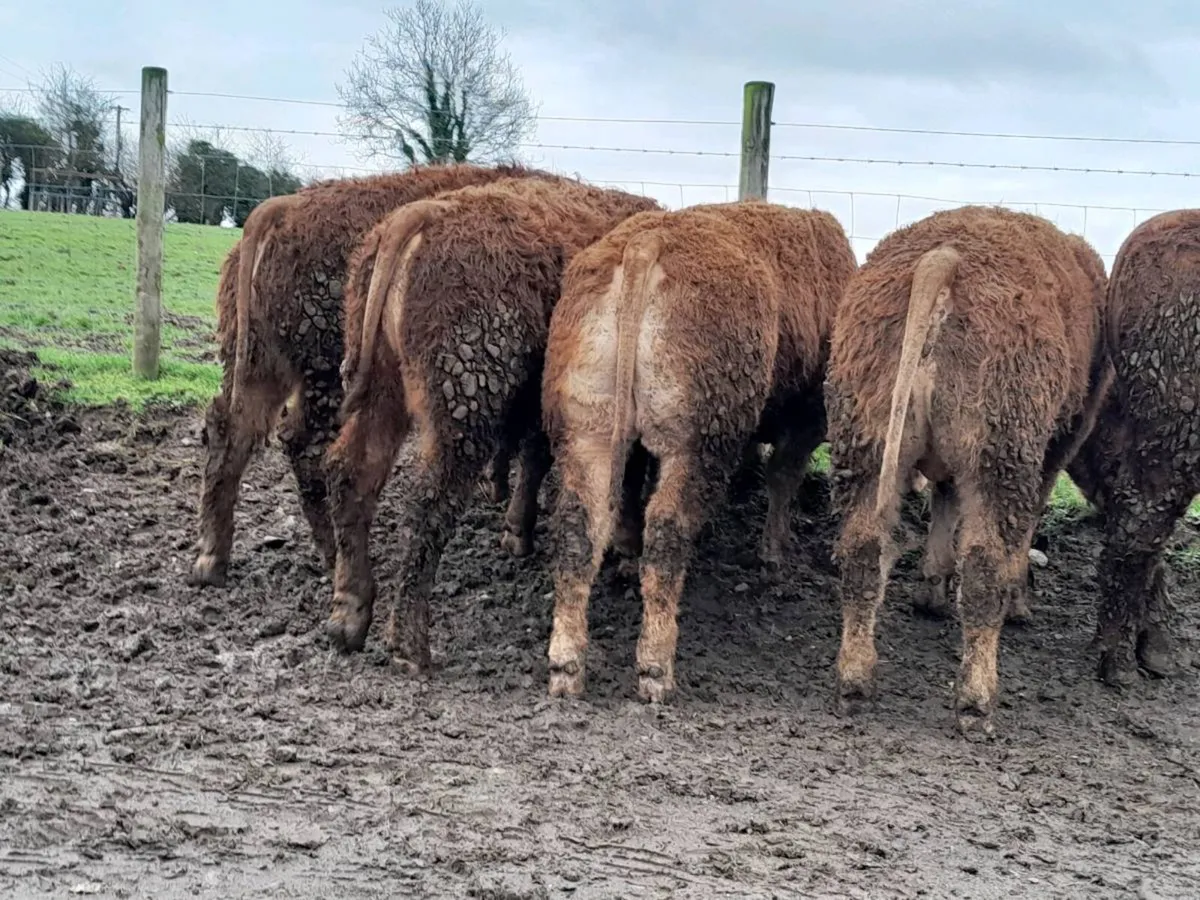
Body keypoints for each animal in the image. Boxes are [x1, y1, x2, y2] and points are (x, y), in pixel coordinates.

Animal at [189, 163, 560, 589]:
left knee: (232, 432)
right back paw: (331, 557)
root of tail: (281, 210)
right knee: (304, 446)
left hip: (256, 366)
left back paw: (211, 561)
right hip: (321, 376)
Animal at [323, 177, 662, 665]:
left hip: (380, 395)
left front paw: (516, 533)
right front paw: (627, 544)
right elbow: (625, 471)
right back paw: (409, 644)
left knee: (351, 476)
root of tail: (420, 215)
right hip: (463, 411)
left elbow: (535, 458)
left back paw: (348, 617)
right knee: (429, 501)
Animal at [539, 200, 857, 702]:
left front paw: (626, 553)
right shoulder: (808, 417)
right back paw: (655, 666)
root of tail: (647, 241)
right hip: (696, 446)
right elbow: (783, 478)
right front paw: (774, 554)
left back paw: (566, 664)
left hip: (586, 433)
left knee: (578, 529)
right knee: (668, 530)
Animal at [823, 205, 1110, 734]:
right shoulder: (1055, 449)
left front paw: (931, 592)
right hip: (1001, 454)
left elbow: (943, 506)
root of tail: (944, 258)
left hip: (865, 444)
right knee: (983, 567)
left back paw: (855, 680)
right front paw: (1018, 602)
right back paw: (976, 700)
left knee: (862, 552)